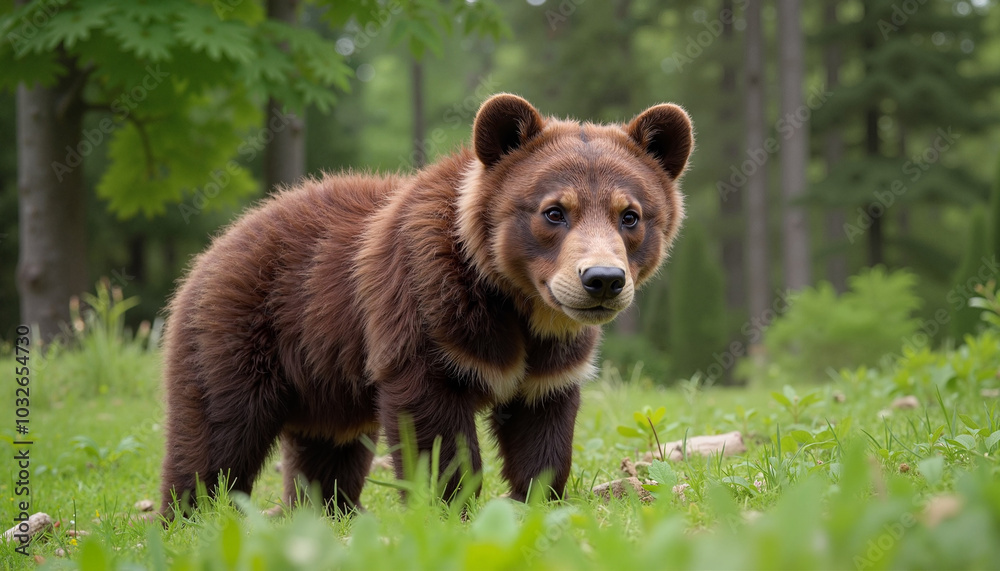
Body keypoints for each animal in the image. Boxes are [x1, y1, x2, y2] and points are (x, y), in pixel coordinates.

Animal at [158, 93, 693, 517]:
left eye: (630, 215)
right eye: (554, 211)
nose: (602, 280)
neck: (513, 303)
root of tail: (218, 243)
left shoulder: (551, 364)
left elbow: (542, 436)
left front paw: (538, 501)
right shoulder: (427, 318)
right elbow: (434, 430)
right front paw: (451, 507)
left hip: (323, 376)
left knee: (327, 447)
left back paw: (328, 512)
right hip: (243, 331)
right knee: (217, 434)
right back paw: (190, 515)